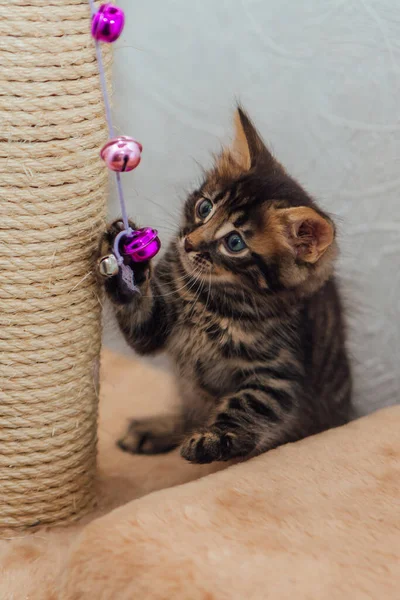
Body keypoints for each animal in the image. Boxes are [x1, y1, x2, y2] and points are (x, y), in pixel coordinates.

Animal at [98, 108, 352, 464]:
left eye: (234, 243)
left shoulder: (277, 373)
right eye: (204, 208)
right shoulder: (153, 326)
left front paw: (214, 439)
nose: (189, 243)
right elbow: (137, 308)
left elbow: (247, 405)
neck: (209, 300)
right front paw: (127, 261)